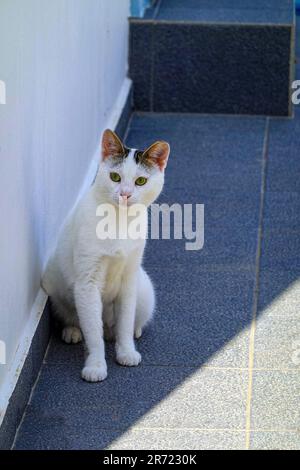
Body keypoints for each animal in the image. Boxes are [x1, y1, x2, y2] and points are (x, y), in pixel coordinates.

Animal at [41, 129, 171, 382]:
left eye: (141, 181)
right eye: (115, 177)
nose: (125, 194)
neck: (119, 221)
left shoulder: (129, 277)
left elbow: (125, 321)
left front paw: (126, 351)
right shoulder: (87, 283)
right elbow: (93, 332)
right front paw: (96, 365)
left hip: (144, 289)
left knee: (127, 322)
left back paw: (133, 331)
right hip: (53, 282)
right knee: (76, 317)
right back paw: (72, 331)